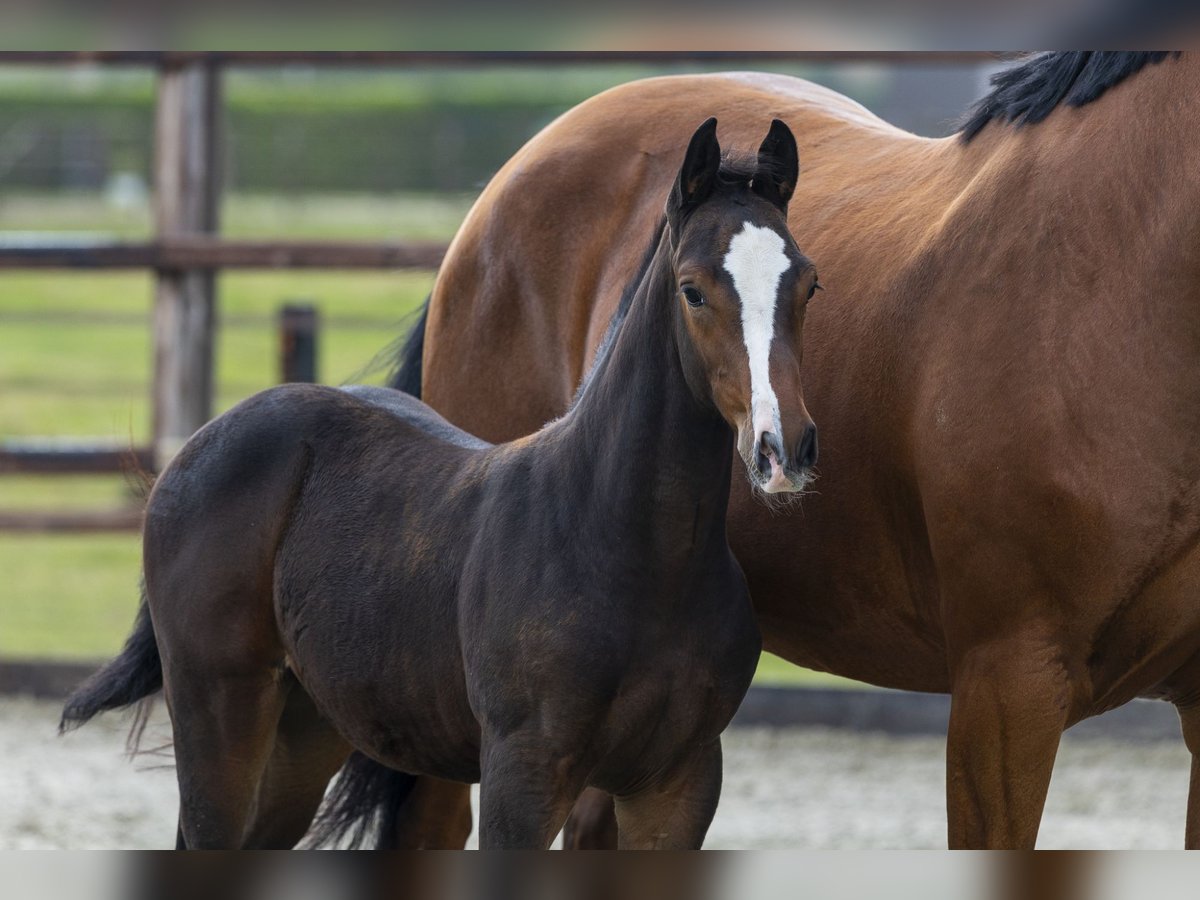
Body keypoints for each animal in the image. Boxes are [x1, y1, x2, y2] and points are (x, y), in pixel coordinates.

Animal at [60, 118, 822, 849]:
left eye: (808, 284)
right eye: (693, 289)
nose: (782, 448)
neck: (630, 548)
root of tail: (193, 452)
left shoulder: (678, 783)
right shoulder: (523, 772)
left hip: (309, 723)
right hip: (218, 704)